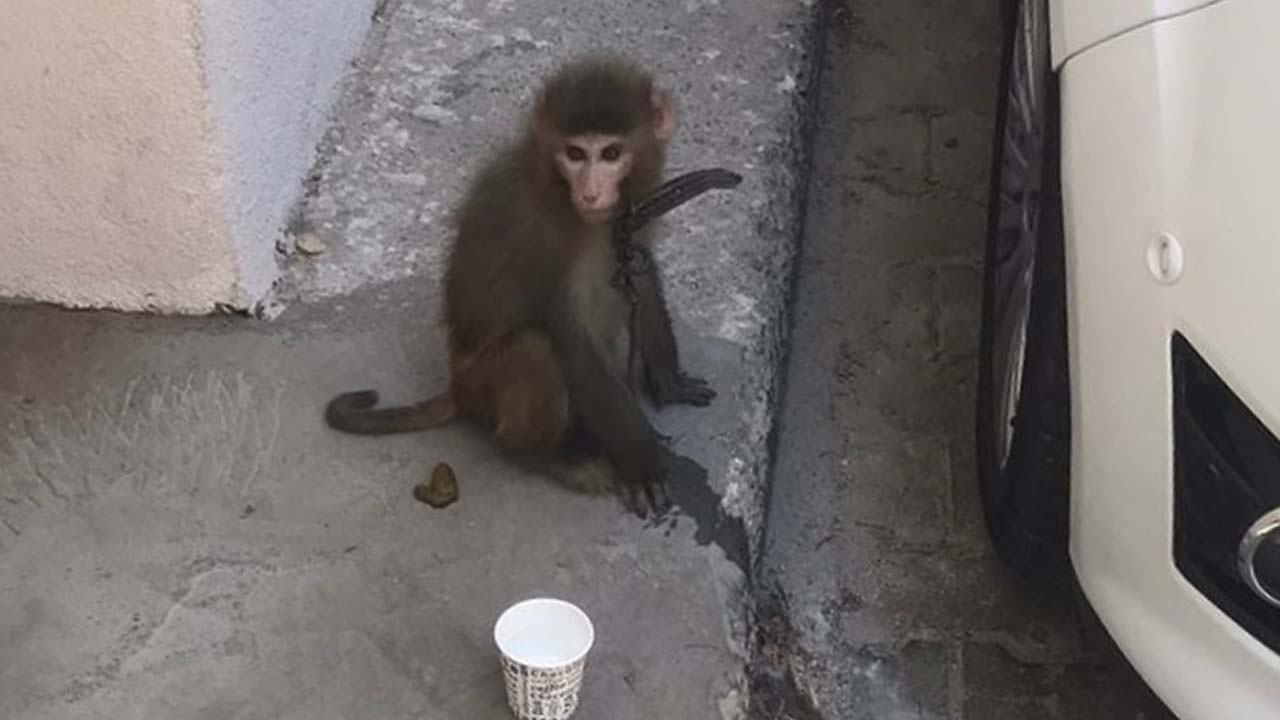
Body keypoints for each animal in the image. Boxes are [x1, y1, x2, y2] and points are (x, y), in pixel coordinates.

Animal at [325, 56, 716, 515]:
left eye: (611, 153)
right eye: (575, 154)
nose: (590, 193)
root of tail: (458, 386)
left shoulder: (634, 212)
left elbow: (639, 272)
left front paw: (670, 383)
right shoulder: (540, 236)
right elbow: (571, 340)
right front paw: (643, 466)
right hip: (485, 384)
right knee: (537, 348)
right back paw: (545, 454)